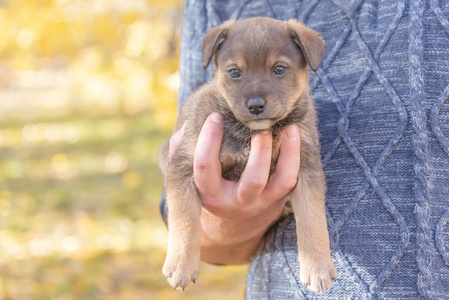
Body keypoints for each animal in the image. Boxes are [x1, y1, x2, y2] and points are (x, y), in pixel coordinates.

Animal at [158, 16, 336, 292]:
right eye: (234, 72)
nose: (255, 105)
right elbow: (184, 219)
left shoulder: (306, 168)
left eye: (279, 69)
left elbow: (313, 219)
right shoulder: (184, 165)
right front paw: (180, 265)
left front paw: (318, 266)